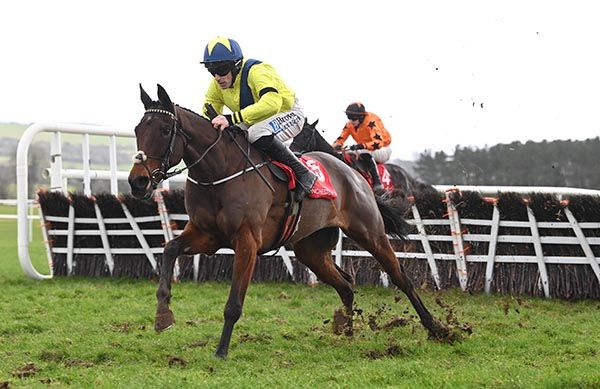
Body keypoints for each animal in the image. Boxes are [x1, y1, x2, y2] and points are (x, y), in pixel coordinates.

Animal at [129, 85, 452, 358]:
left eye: (165, 129)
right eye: (137, 129)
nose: (137, 182)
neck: (219, 172)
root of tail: (353, 174)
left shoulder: (246, 241)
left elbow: (233, 304)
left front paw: (221, 351)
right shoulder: (205, 236)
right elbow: (169, 249)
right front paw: (163, 315)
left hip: (370, 232)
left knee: (401, 278)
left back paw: (437, 329)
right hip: (311, 250)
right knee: (346, 285)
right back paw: (347, 332)